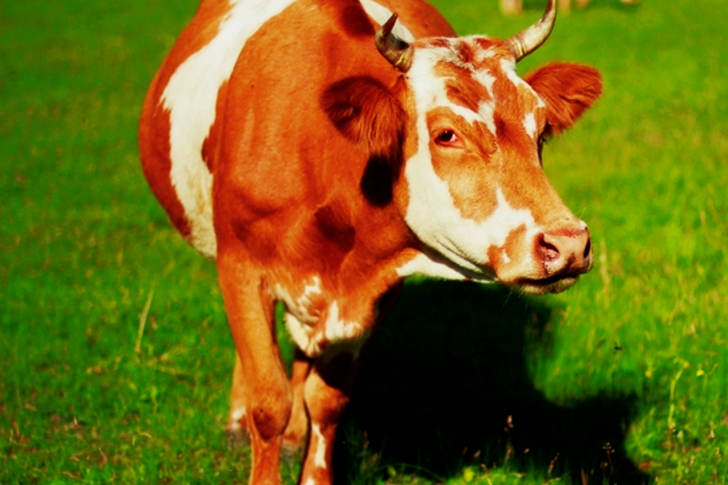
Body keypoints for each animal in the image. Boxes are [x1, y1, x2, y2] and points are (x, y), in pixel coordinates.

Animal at [138, 0, 602, 482]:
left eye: (542, 131)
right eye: (447, 134)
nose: (568, 243)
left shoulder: (370, 293)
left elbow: (326, 402)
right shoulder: (241, 268)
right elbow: (268, 401)